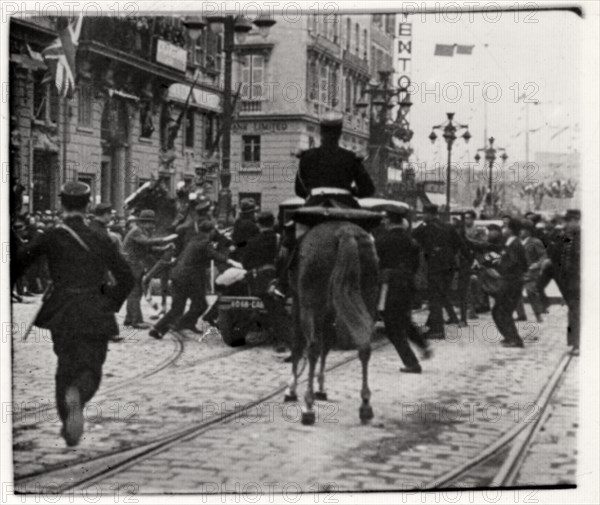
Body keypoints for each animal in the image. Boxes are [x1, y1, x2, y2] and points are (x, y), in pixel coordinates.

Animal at [282, 220, 378, 426]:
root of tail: (345, 232)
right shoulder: (329, 311)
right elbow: (327, 344)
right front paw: (321, 387)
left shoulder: (298, 302)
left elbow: (298, 345)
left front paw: (292, 388)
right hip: (368, 299)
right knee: (364, 346)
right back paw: (365, 405)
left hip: (310, 304)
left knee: (312, 347)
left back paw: (308, 407)